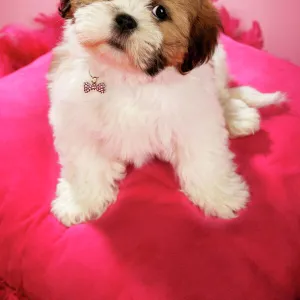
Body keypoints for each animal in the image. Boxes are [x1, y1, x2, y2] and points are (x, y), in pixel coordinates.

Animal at [48, 0, 284, 225]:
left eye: (160, 11)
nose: (125, 20)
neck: (128, 75)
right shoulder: (76, 117)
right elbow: (85, 162)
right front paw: (81, 201)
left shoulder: (195, 114)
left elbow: (205, 156)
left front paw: (220, 194)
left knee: (222, 95)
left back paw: (237, 116)